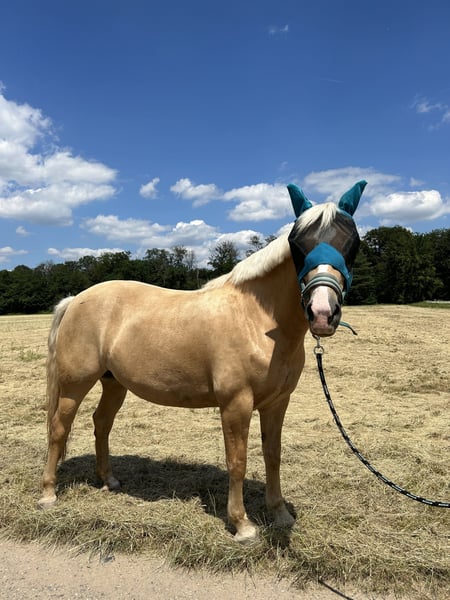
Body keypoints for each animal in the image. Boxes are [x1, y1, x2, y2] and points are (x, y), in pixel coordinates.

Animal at [38, 180, 366, 543]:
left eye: (353, 242)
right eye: (297, 243)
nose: (322, 313)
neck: (257, 320)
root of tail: (75, 300)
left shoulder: (277, 403)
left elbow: (273, 456)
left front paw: (279, 514)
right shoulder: (236, 404)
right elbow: (237, 460)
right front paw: (242, 524)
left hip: (113, 383)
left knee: (101, 423)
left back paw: (108, 480)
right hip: (74, 385)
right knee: (59, 428)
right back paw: (48, 494)